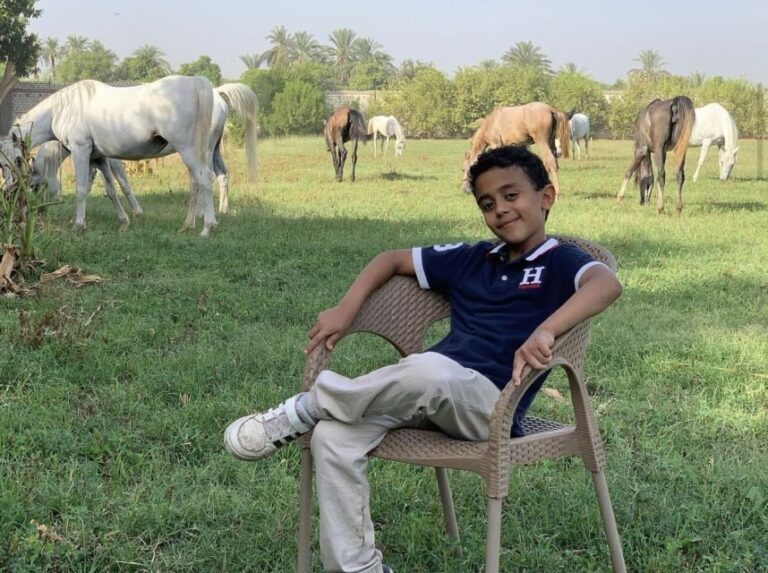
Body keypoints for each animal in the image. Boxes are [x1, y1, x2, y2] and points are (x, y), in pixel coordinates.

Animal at [0, 75, 218, 236]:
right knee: (196, 184)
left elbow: (82, 189)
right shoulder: (98, 158)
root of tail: (195, 82)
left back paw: (207, 227)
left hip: (187, 150)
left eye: (17, 160)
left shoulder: (81, 151)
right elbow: (111, 189)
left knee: (204, 179)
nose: (10, 194)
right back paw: (188, 225)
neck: (62, 110)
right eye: (2, 166)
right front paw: (124, 221)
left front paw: (78, 224)